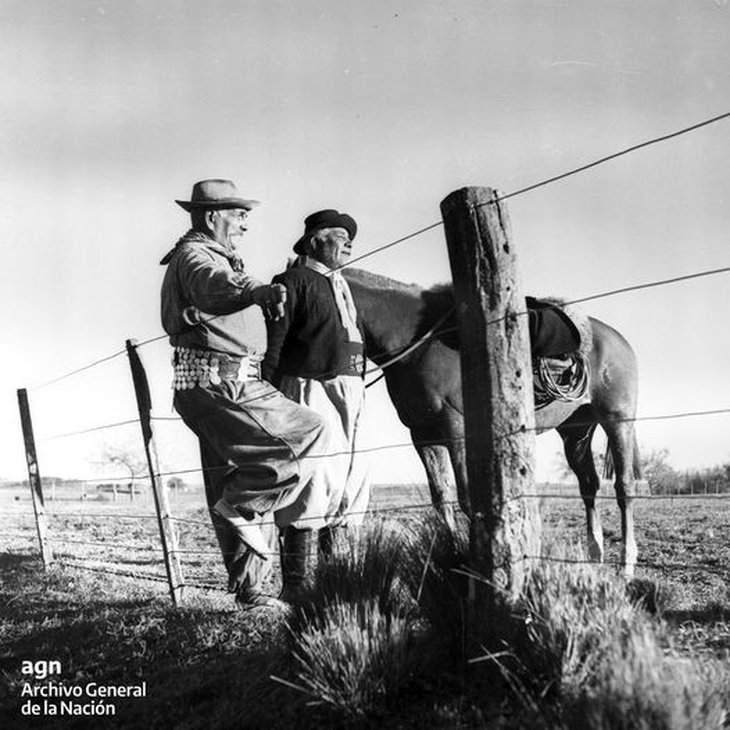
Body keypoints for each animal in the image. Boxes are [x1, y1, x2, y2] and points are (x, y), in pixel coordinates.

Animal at [344, 266, 640, 576]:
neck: (418, 344)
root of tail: (618, 340)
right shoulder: (423, 436)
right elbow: (441, 499)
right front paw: (450, 556)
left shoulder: (456, 430)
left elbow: (466, 499)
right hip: (576, 431)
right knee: (589, 485)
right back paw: (595, 556)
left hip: (618, 421)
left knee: (624, 488)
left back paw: (626, 564)